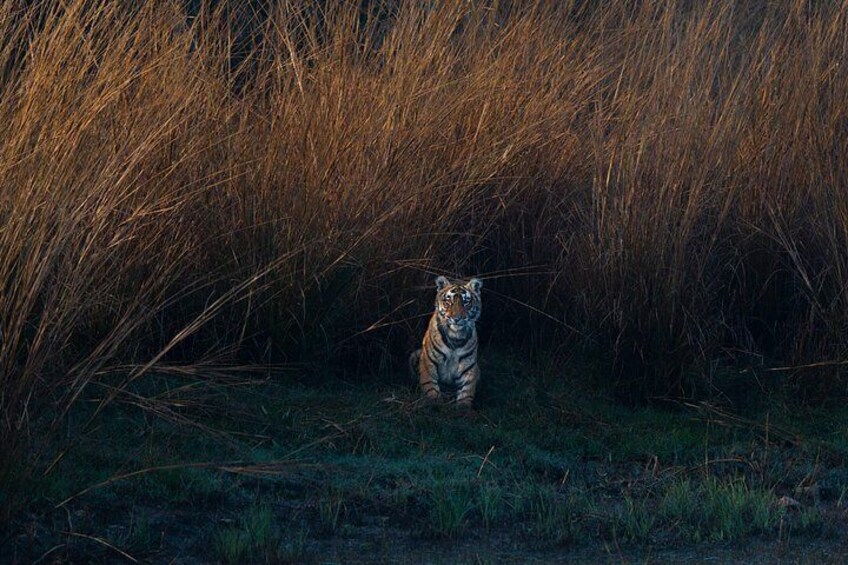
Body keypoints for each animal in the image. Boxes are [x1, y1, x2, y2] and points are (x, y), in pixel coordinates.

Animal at [409, 275, 483, 407]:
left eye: (466, 302)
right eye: (448, 302)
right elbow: (430, 387)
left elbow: (466, 392)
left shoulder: (469, 367)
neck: (455, 337)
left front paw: (463, 408)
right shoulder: (428, 364)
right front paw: (435, 403)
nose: (457, 319)